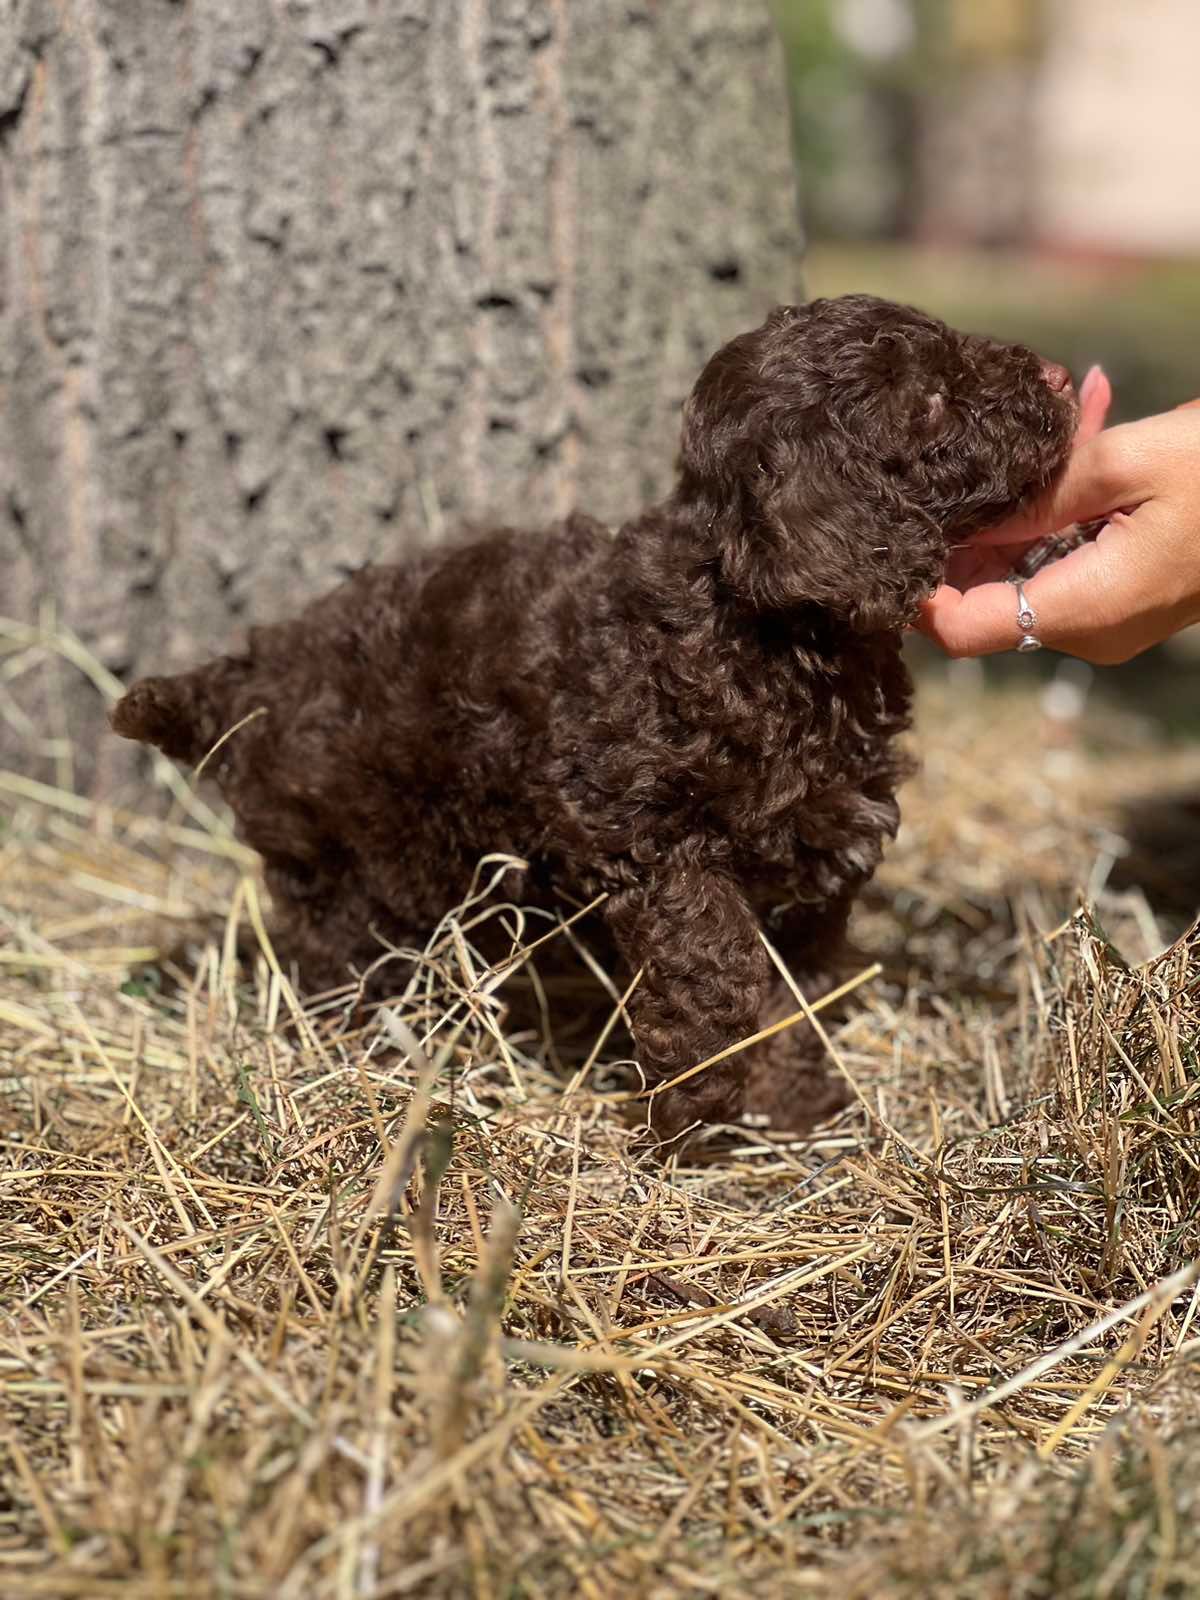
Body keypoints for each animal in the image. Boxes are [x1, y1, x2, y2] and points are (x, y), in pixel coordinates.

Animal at [112, 291, 1081, 1139]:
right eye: (930, 401)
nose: (1060, 380)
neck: (759, 626)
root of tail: (252, 671)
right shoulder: (645, 831)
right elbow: (716, 962)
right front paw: (695, 1102)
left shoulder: (823, 845)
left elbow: (798, 987)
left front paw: (796, 1105)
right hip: (344, 861)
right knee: (336, 952)